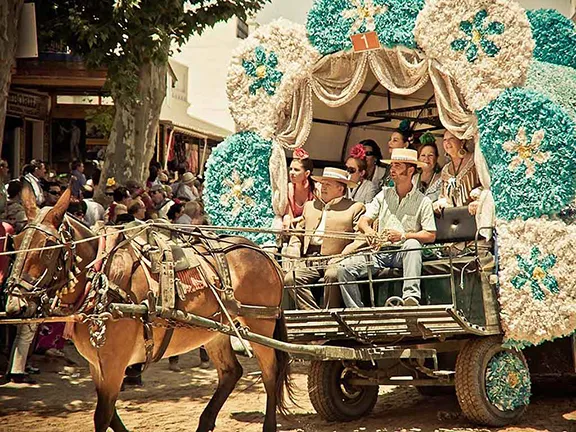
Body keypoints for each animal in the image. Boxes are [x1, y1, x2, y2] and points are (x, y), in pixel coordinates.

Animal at [4, 188, 292, 432]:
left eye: (46, 249)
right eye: (14, 242)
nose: (15, 305)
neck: (104, 278)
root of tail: (263, 253)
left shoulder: (114, 364)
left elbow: (103, 416)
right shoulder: (98, 366)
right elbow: (110, 417)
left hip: (260, 327)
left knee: (271, 374)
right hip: (217, 330)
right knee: (231, 373)